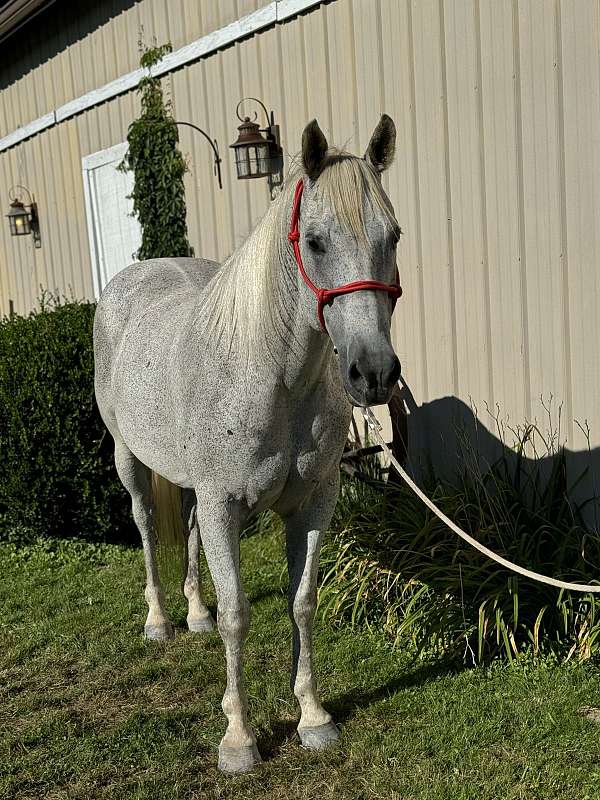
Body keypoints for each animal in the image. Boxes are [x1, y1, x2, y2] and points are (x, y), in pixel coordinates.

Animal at [94, 115, 400, 772]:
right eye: (315, 241)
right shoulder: (224, 507)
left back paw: (194, 613)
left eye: (393, 236)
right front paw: (238, 739)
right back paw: (160, 620)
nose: (374, 373)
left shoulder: (312, 505)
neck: (272, 379)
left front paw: (313, 717)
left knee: (183, 528)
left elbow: (302, 601)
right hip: (129, 459)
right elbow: (239, 615)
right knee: (144, 524)